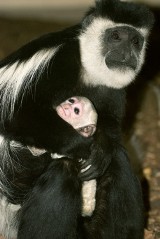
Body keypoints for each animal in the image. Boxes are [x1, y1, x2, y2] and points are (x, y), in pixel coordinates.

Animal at [0, 0, 154, 238]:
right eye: (116, 36)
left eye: (136, 41)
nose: (127, 52)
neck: (87, 68)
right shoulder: (56, 63)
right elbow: (15, 116)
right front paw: (83, 147)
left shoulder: (112, 89)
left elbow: (110, 125)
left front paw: (101, 149)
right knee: (62, 169)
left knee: (117, 157)